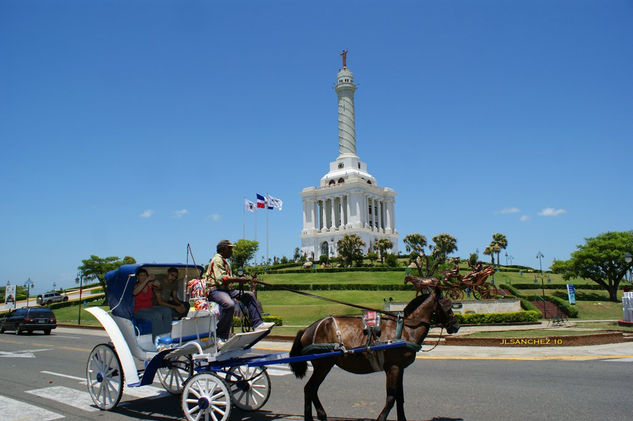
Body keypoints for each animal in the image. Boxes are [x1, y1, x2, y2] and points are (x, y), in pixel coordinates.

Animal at [288, 282, 460, 420]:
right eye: (447, 305)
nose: (456, 325)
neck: (405, 329)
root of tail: (307, 329)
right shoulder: (393, 368)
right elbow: (391, 398)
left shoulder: (400, 368)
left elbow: (400, 397)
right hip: (323, 365)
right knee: (310, 388)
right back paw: (320, 415)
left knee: (310, 390)